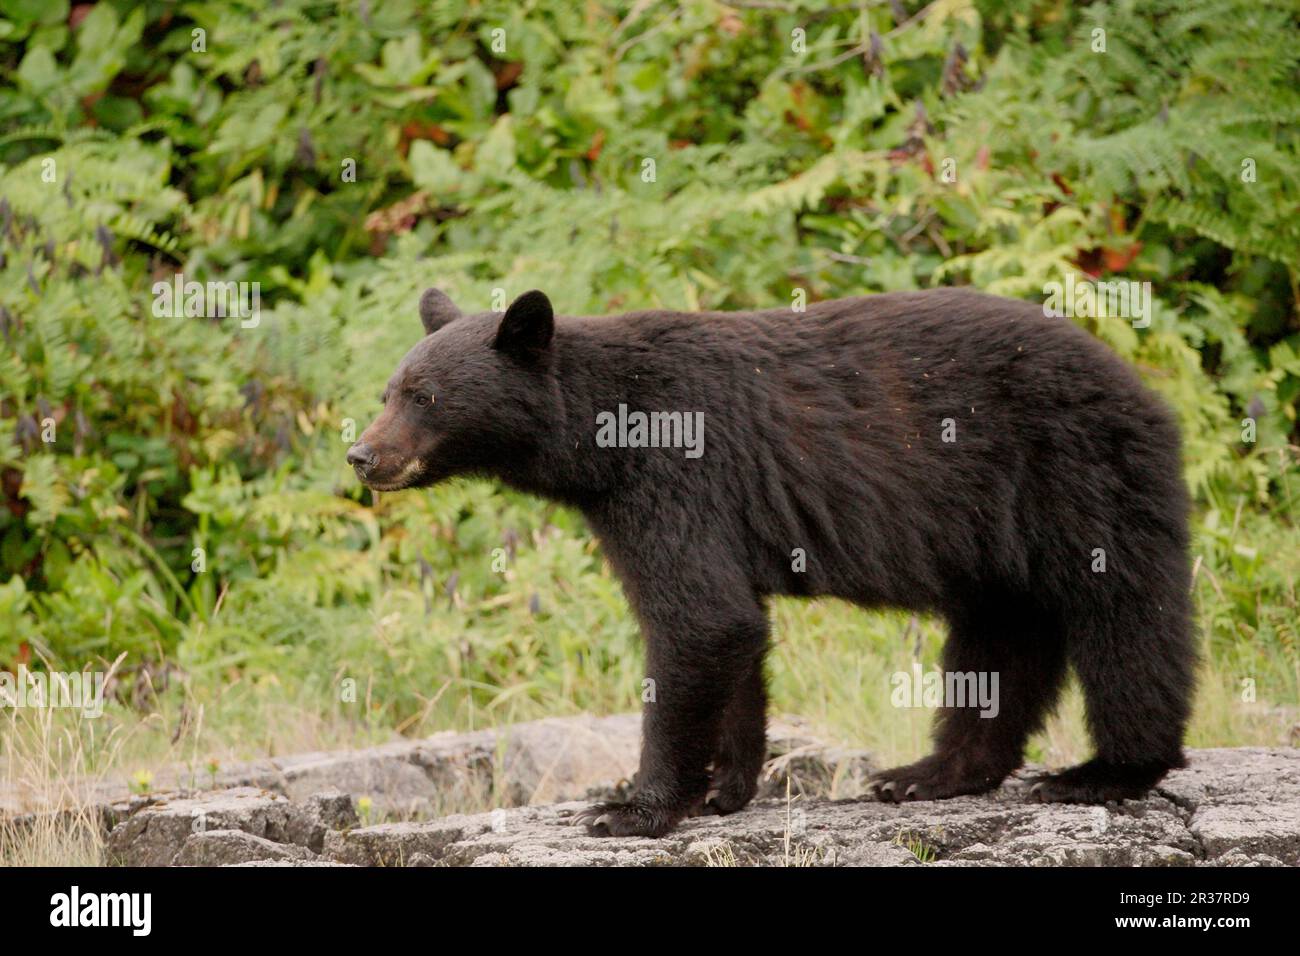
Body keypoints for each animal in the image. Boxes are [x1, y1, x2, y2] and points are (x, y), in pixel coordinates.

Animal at [347, 285, 1196, 838]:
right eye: (389, 389)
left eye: (425, 397)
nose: (362, 456)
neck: (601, 435)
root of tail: (1143, 387)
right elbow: (731, 631)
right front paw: (724, 788)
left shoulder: (674, 478)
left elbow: (696, 620)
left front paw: (631, 807)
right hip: (999, 541)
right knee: (999, 641)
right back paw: (928, 774)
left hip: (1080, 476)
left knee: (1128, 619)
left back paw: (1106, 770)